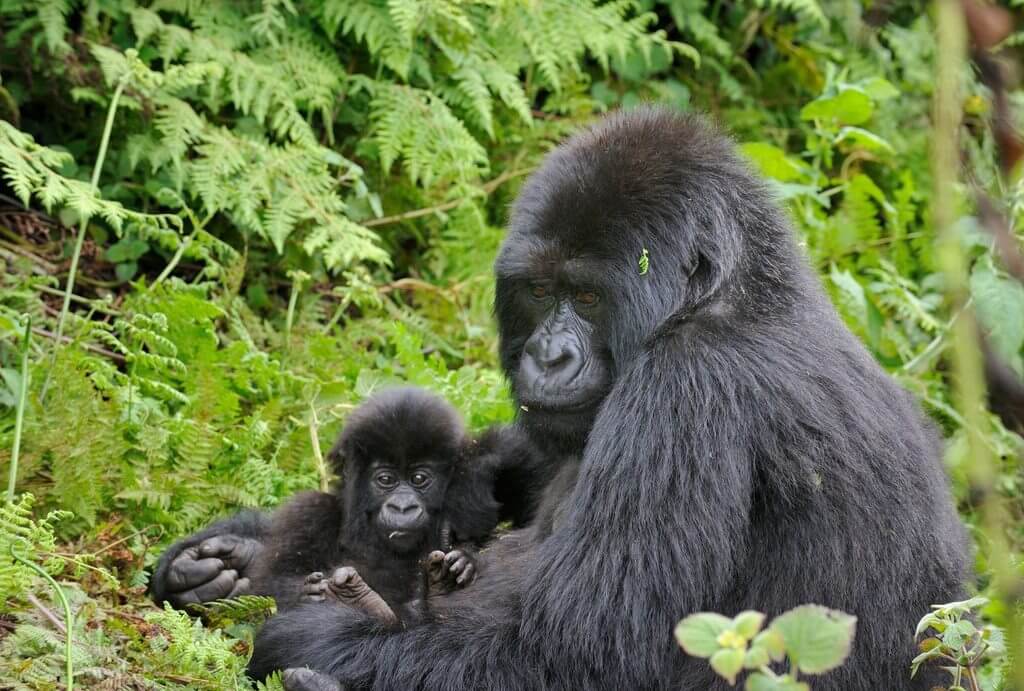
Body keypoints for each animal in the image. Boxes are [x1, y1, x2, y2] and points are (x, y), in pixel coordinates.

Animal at [244, 389, 507, 626]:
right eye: (386, 479)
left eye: (419, 479)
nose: (403, 507)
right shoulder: (308, 512)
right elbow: (269, 585)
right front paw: (308, 592)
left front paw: (465, 558)